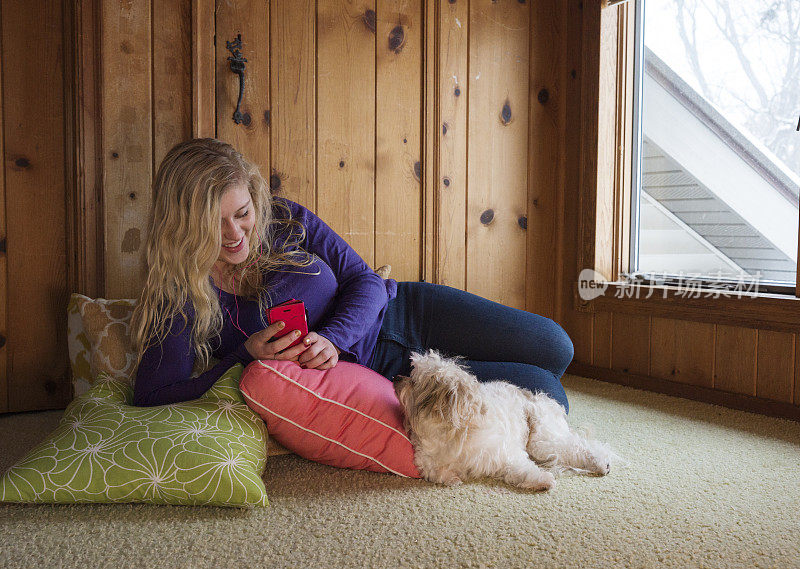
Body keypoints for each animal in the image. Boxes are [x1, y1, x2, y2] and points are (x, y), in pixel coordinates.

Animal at [394, 348, 620, 490]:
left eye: (413, 381)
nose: (396, 377)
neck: (446, 437)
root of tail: (542, 398)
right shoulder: (428, 464)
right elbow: (440, 474)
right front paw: (453, 478)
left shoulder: (505, 453)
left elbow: (524, 469)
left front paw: (543, 480)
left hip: (542, 440)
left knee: (579, 448)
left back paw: (601, 464)